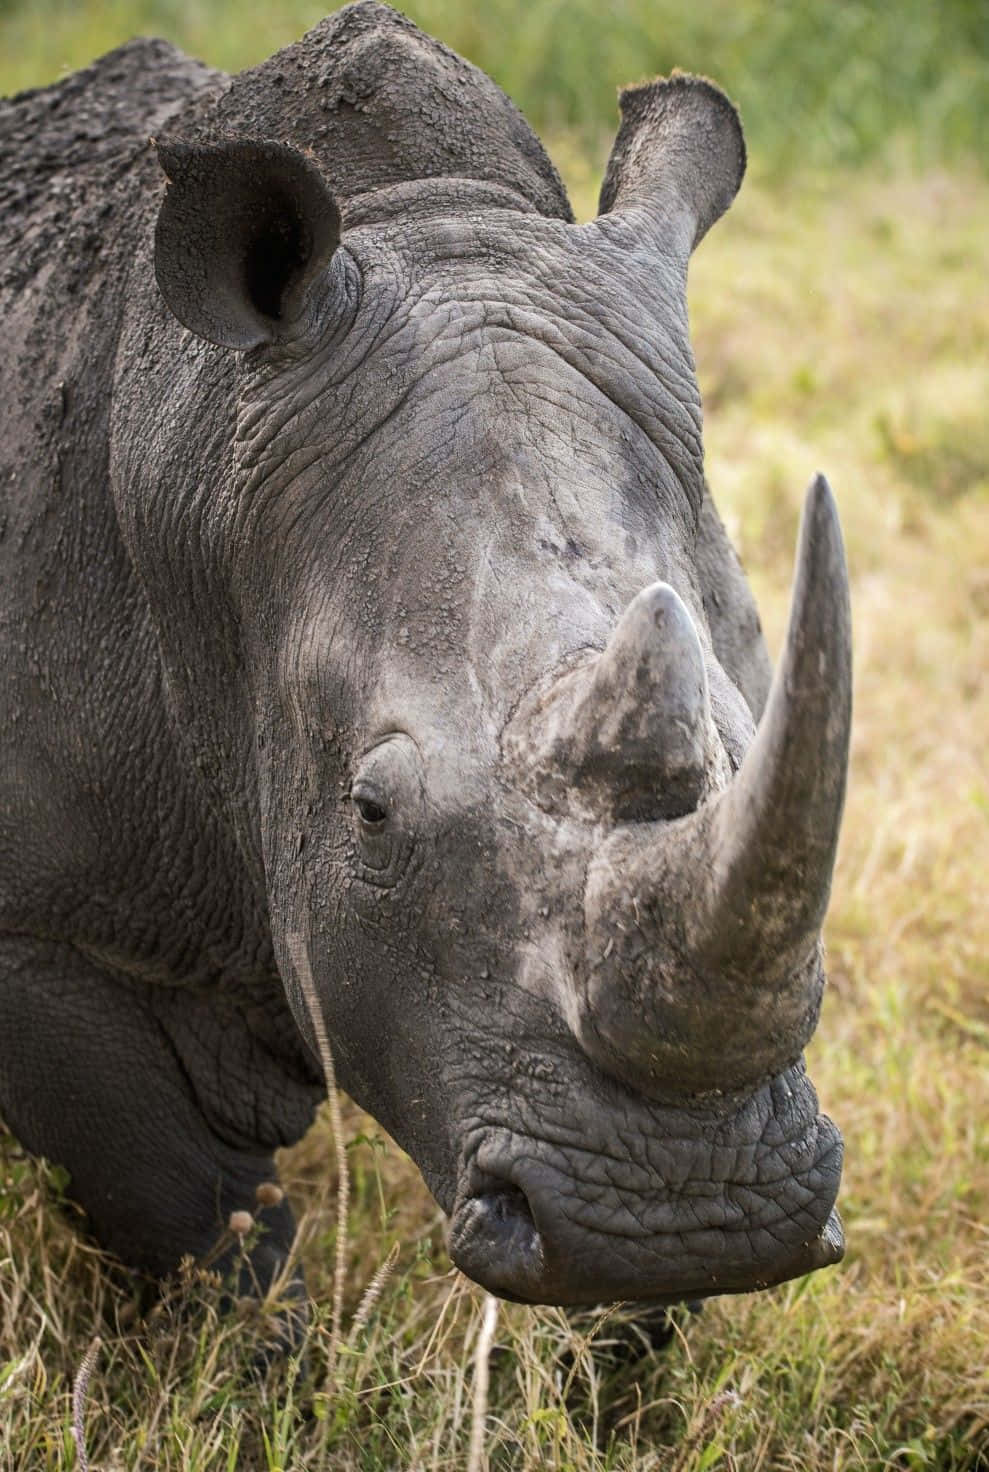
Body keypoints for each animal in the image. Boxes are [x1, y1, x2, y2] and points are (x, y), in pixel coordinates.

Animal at [0, 0, 850, 1315]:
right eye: (369, 811)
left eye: (760, 743)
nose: (686, 1214)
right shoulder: (42, 926)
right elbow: (195, 1216)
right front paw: (263, 1352)